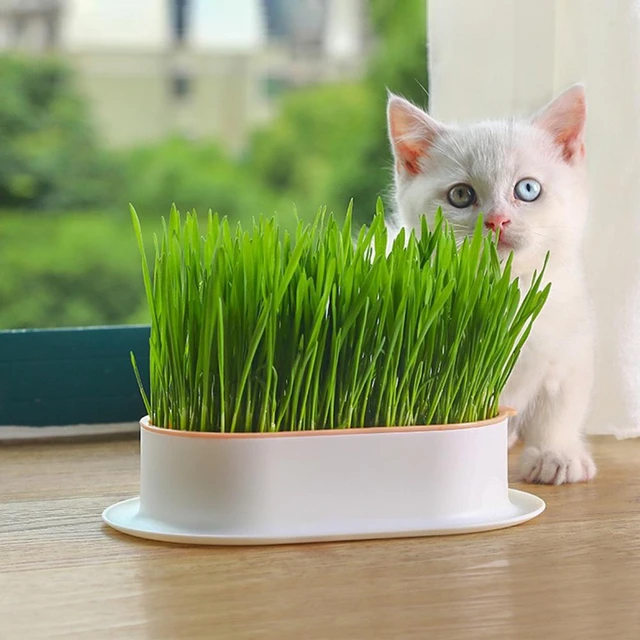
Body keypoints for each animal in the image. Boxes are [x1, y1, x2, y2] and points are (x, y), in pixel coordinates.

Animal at [388, 86, 596, 484]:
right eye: (460, 195)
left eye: (527, 189)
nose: (497, 220)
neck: (504, 292)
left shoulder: (568, 346)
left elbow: (558, 406)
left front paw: (556, 453)